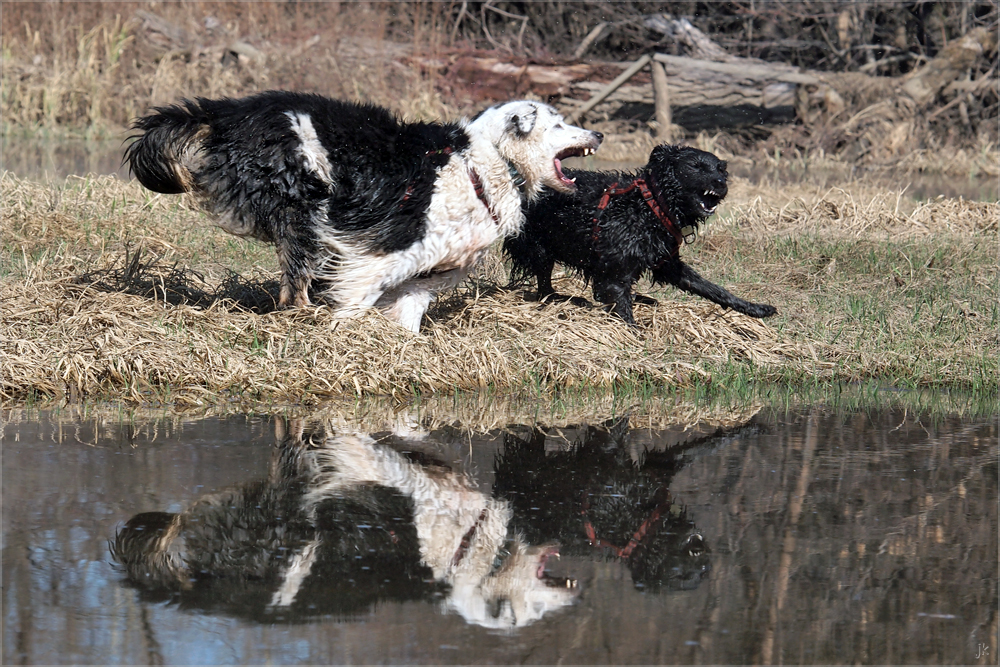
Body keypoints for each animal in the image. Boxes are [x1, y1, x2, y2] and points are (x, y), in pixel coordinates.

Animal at [125, 92, 600, 332]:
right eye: (558, 124)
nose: (597, 133)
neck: (491, 160)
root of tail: (226, 113)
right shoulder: (389, 248)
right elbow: (360, 292)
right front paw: (345, 329)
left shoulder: (434, 268)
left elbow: (410, 307)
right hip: (306, 210)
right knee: (293, 289)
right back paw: (306, 314)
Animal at [504, 144, 776, 326]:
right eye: (696, 167)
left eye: (720, 169)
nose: (721, 182)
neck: (651, 205)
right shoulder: (613, 275)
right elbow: (623, 310)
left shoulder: (668, 263)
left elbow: (713, 289)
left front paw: (755, 308)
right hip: (538, 248)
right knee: (545, 290)